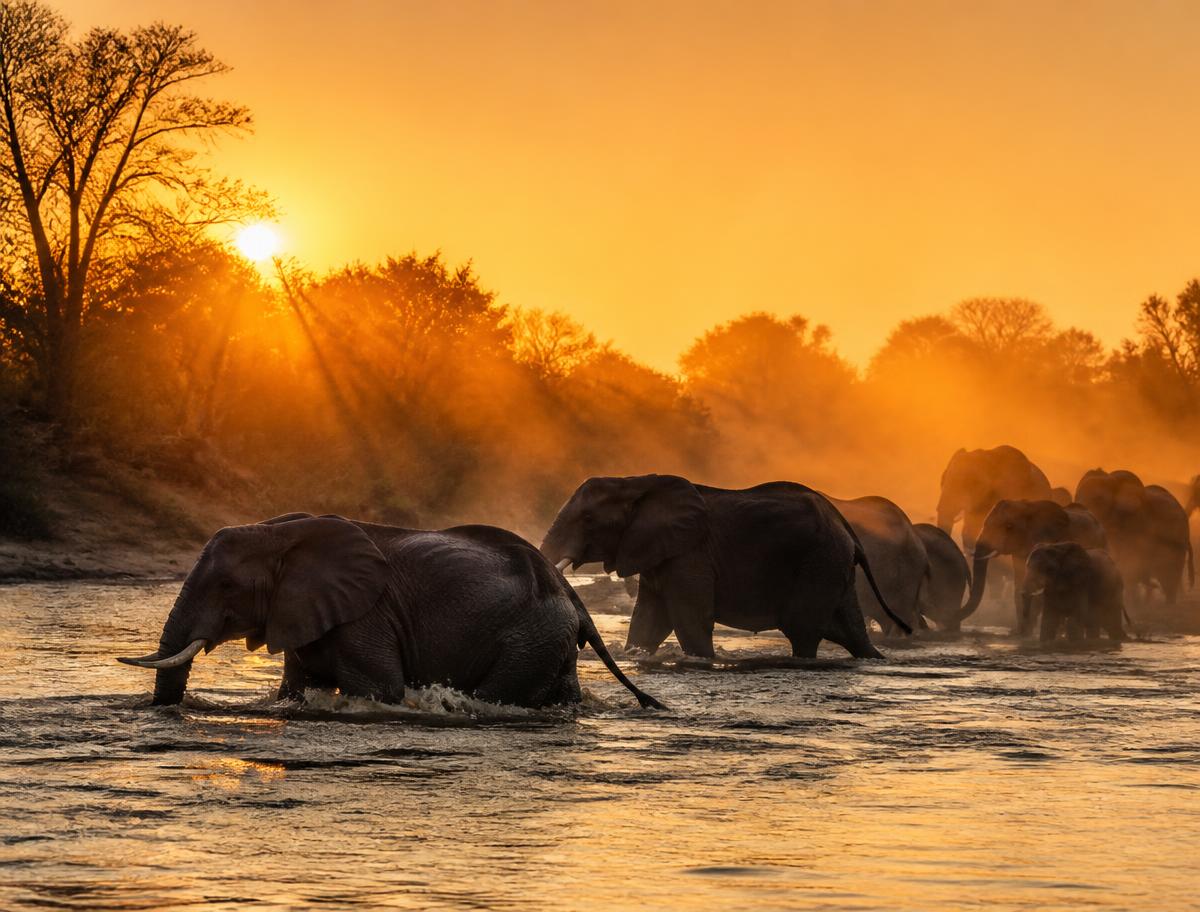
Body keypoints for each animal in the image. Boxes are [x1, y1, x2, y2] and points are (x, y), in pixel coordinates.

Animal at [118, 513, 663, 710]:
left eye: (228, 586)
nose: (168, 711)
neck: (278, 533)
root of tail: (572, 597)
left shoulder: (368, 617)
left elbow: (378, 691)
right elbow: (295, 689)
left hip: (530, 637)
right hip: (550, 641)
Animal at [539, 475, 912, 660]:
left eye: (588, 519)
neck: (635, 482)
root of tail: (845, 527)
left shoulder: (691, 554)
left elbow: (689, 619)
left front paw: (703, 660)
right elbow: (648, 619)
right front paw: (636, 653)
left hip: (819, 563)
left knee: (803, 632)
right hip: (832, 566)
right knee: (850, 631)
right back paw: (873, 658)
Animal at [960, 499, 1107, 631]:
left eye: (1009, 526)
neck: (1026, 507)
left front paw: (1028, 630)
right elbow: (1019, 584)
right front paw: (1021, 632)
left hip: (1102, 542)